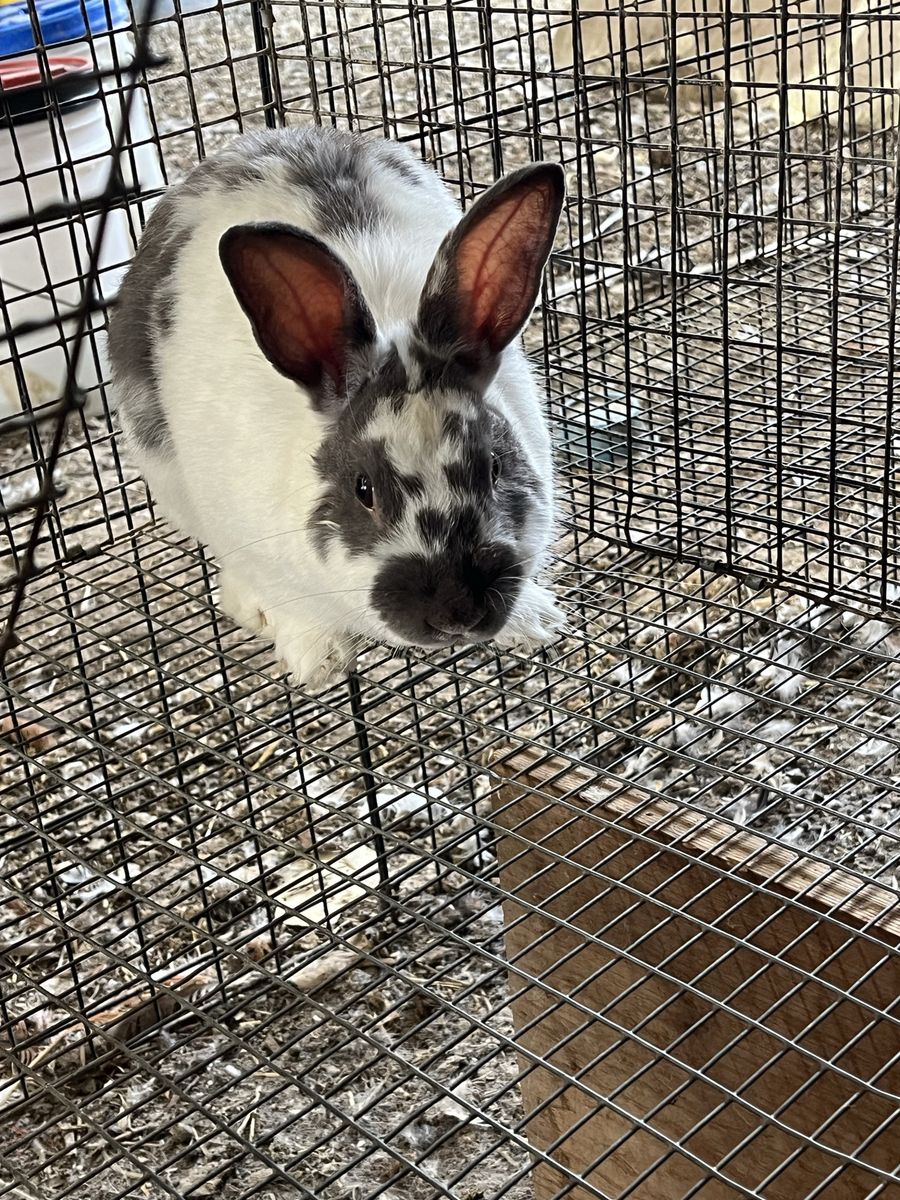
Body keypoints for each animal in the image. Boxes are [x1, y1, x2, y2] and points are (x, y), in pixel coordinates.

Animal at [109, 127, 566, 689]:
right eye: (362, 489)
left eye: (495, 467)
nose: (457, 611)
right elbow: (292, 602)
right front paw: (320, 661)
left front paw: (534, 623)